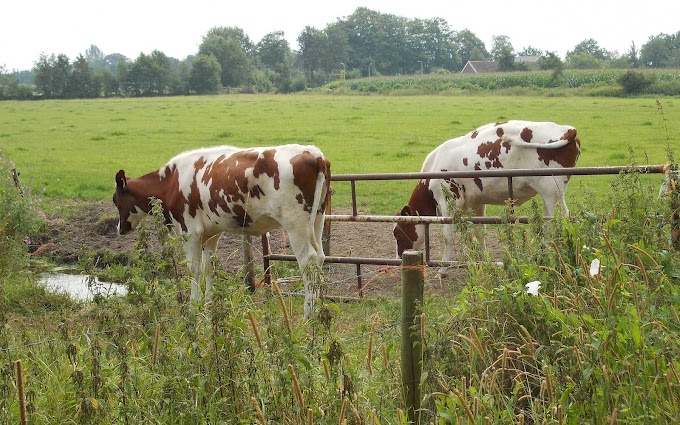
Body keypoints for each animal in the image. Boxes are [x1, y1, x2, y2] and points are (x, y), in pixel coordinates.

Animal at [113, 143, 330, 318]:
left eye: (115, 200)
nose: (119, 228)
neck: (171, 182)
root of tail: (314, 154)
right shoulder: (212, 234)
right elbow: (209, 268)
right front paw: (208, 306)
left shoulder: (189, 232)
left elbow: (193, 269)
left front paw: (193, 309)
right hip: (318, 217)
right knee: (320, 257)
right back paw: (319, 309)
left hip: (295, 224)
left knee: (307, 261)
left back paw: (308, 315)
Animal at [396, 119, 580, 274]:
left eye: (398, 233)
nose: (398, 259)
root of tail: (567, 129)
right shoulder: (477, 203)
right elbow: (480, 232)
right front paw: (484, 262)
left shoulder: (449, 201)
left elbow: (448, 235)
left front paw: (443, 269)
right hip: (551, 195)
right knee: (553, 223)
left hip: (552, 192)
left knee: (559, 222)